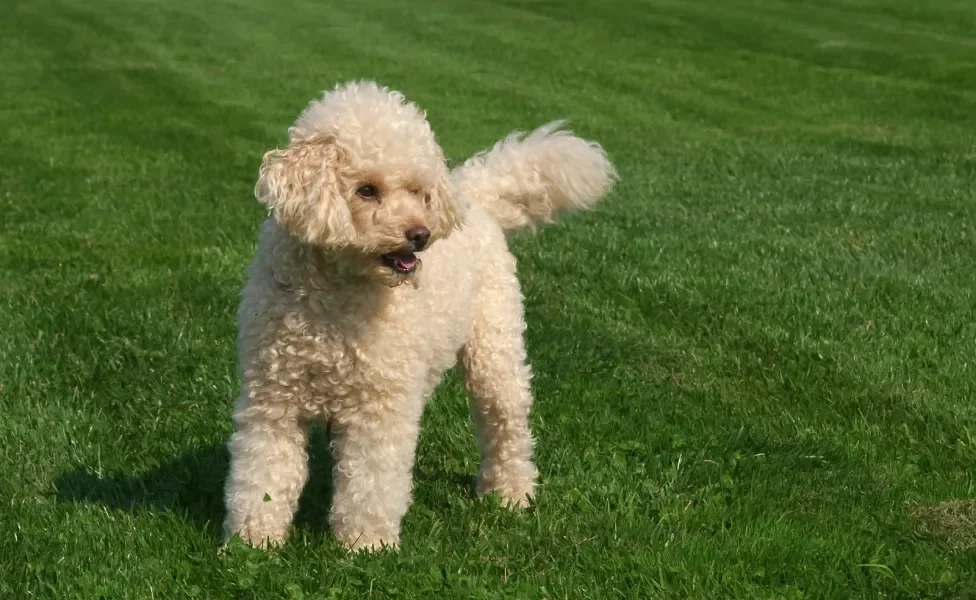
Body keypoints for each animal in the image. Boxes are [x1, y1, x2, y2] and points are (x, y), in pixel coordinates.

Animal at [225, 82, 612, 552]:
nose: (420, 235)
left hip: (494, 353)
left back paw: (510, 493)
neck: (337, 295)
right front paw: (253, 541)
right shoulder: (272, 399)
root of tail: (472, 195)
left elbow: (371, 481)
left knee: (507, 426)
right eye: (366, 190)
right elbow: (263, 473)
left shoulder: (380, 408)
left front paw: (366, 545)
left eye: (416, 191)